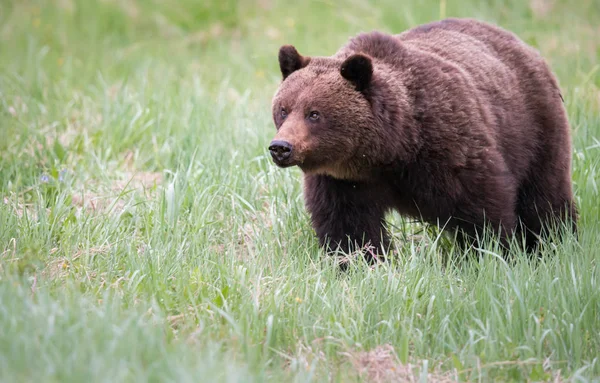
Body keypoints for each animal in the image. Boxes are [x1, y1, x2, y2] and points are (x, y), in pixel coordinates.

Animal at [268, 16, 576, 260]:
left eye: (314, 113)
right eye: (283, 109)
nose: (280, 147)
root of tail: (521, 44)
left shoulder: (449, 148)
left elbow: (482, 210)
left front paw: (488, 255)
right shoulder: (342, 181)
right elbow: (349, 227)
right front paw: (360, 262)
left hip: (533, 127)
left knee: (544, 196)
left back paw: (555, 241)